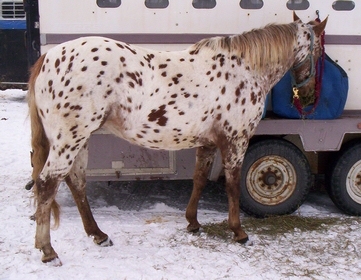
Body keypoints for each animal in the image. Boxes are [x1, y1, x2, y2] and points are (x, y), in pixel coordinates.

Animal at [28, 13, 326, 266]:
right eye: (319, 52)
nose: (308, 96)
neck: (244, 68)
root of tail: (48, 57)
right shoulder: (236, 140)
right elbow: (232, 185)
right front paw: (239, 232)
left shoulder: (208, 143)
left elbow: (199, 179)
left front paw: (193, 223)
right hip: (69, 139)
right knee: (46, 183)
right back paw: (48, 251)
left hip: (79, 140)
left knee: (76, 182)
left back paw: (98, 235)